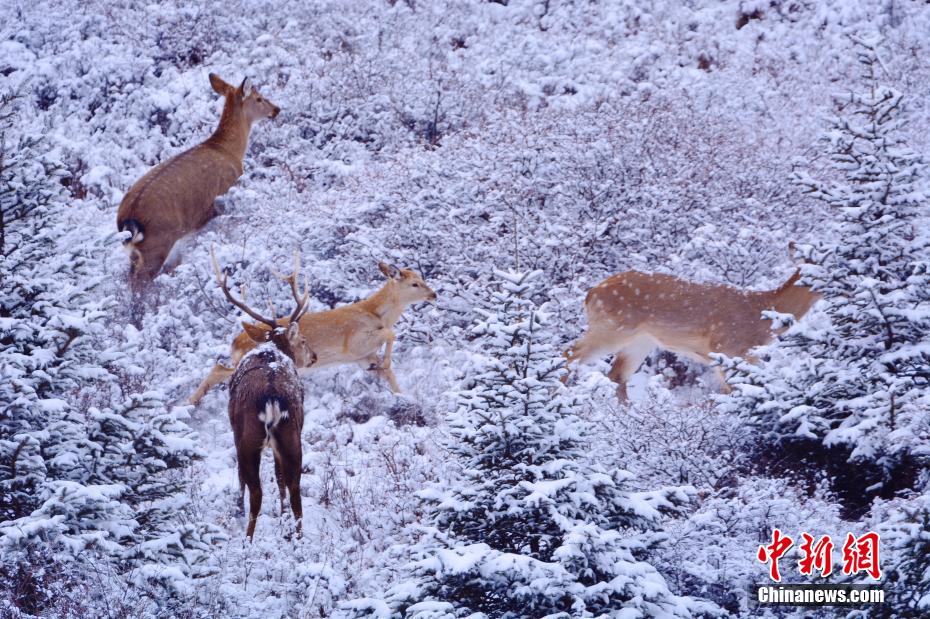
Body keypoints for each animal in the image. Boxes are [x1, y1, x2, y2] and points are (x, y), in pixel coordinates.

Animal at [116, 74, 280, 287]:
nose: (276, 109)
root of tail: (128, 219)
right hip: (158, 242)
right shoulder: (226, 192)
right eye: (259, 98)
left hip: (135, 251)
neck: (229, 151)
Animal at [189, 262, 437, 406]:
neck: (374, 313)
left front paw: (402, 396)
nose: (434, 294)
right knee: (218, 369)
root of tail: (235, 342)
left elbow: (391, 376)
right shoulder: (354, 342)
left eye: (422, 278)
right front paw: (385, 363)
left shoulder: (363, 357)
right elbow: (391, 334)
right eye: (415, 283)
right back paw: (189, 404)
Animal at [214, 247, 315, 540]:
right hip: (291, 434)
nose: (313, 356)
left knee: (256, 491)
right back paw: (297, 537)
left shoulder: (234, 431)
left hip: (248, 437)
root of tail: (272, 398)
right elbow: (280, 479)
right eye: (302, 340)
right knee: (294, 487)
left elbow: (241, 478)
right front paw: (282, 517)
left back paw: (247, 541)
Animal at [565, 255, 820, 401]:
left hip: (640, 341)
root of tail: (591, 293)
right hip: (611, 328)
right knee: (570, 354)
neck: (763, 318)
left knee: (617, 375)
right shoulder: (728, 348)